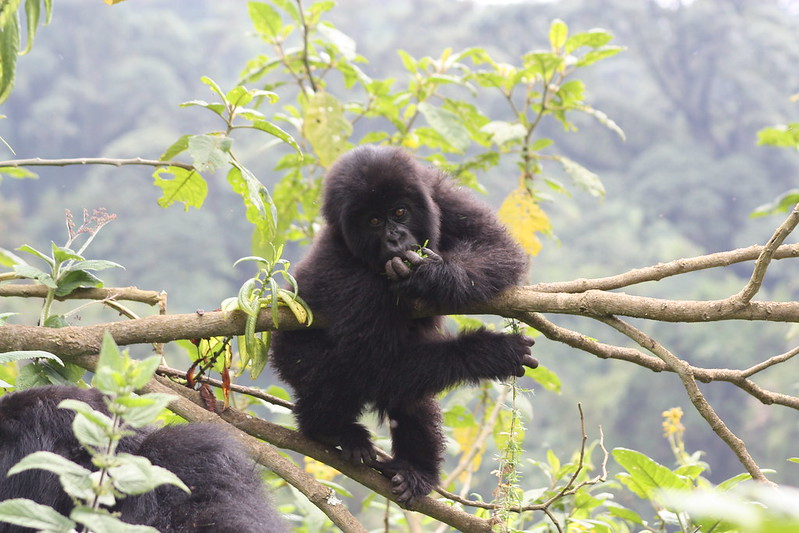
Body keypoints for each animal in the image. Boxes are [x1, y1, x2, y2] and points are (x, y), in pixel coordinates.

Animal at [272, 144, 540, 502]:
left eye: (399, 212)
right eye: (373, 221)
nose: (395, 238)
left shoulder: (441, 197)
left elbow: (495, 247)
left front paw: (432, 277)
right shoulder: (352, 279)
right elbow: (372, 367)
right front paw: (489, 352)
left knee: (413, 394)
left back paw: (416, 470)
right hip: (290, 354)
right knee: (334, 374)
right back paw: (327, 428)